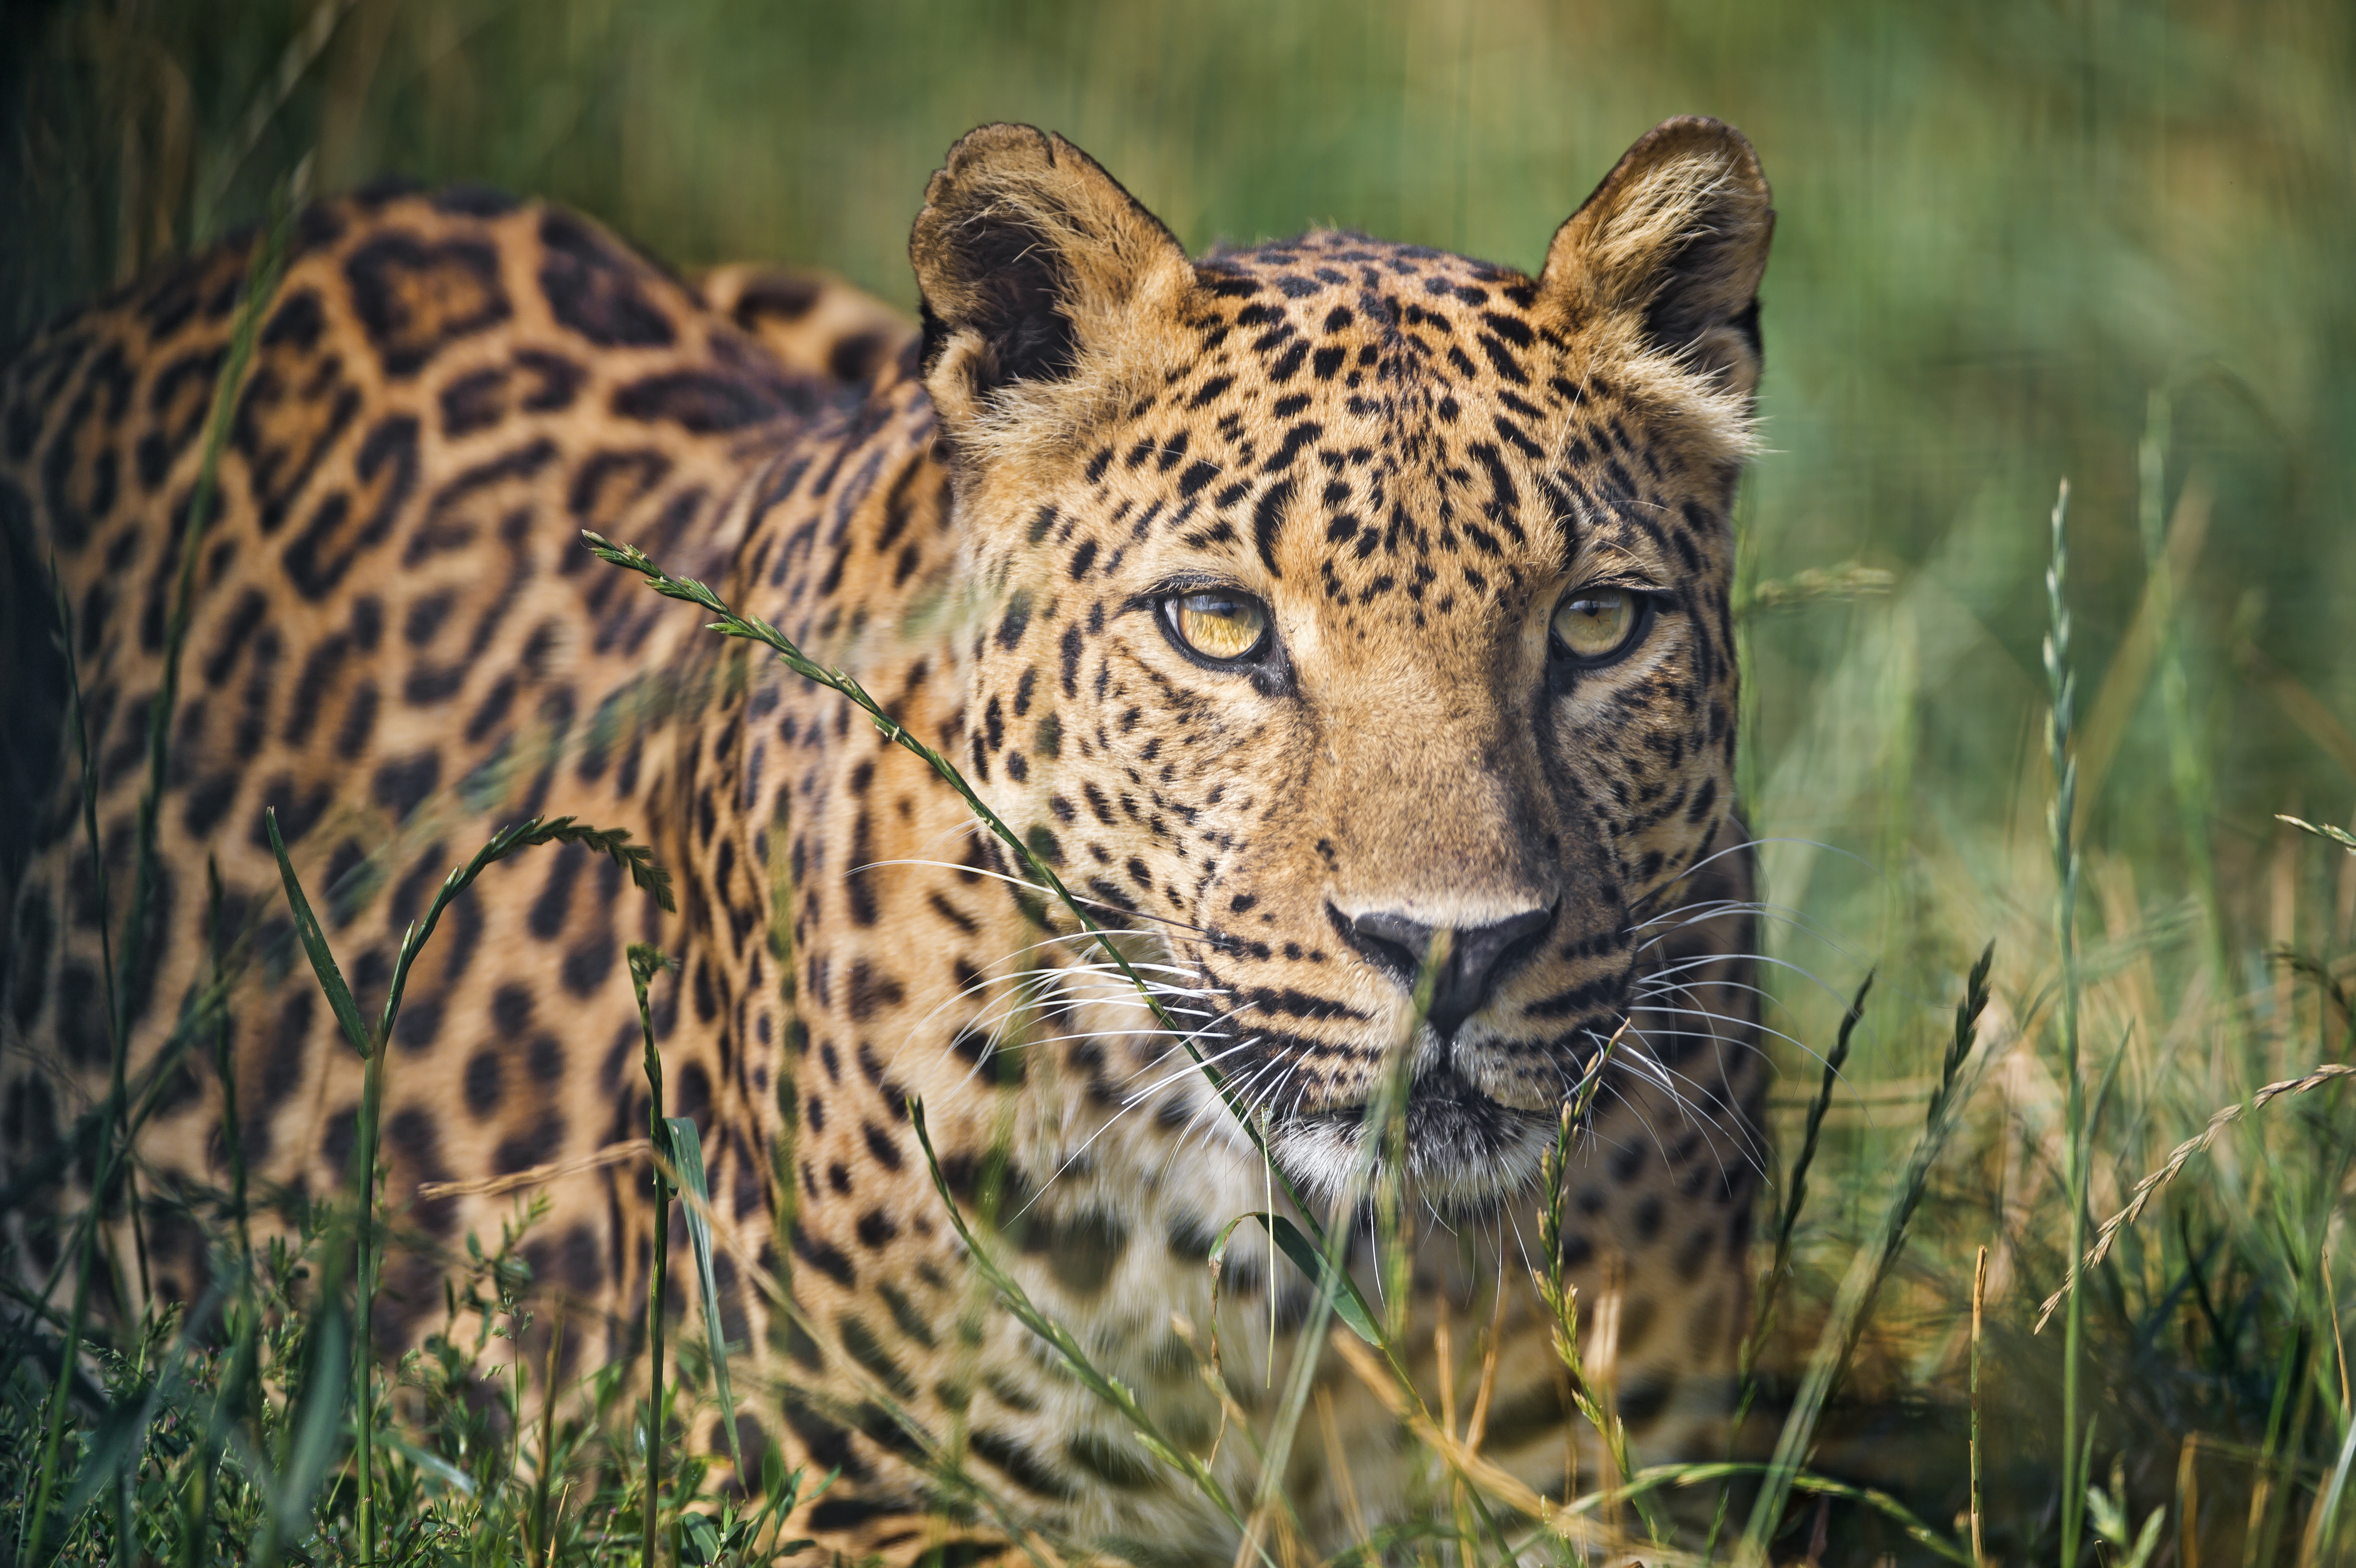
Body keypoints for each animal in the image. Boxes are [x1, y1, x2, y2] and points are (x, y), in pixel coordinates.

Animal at [0, 117, 1775, 1565]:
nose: (1447, 949)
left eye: (1597, 623)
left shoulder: (1650, 1491)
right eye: (1215, 624)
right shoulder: (803, 1488)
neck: (1323, 1285)